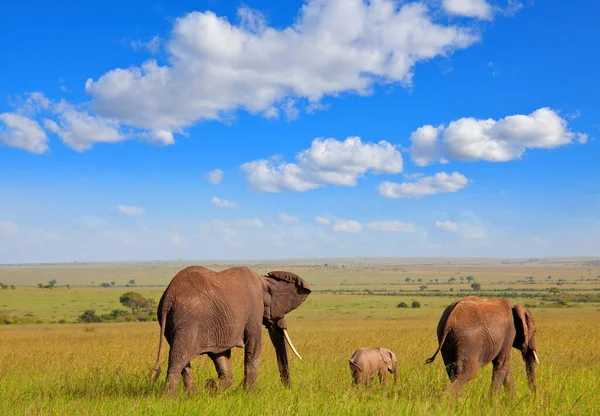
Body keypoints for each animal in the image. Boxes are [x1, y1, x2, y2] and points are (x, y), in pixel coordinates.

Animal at [150, 266, 312, 394]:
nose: (289, 389)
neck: (263, 280)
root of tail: (168, 299)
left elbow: (220, 355)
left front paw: (214, 385)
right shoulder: (254, 308)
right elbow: (254, 346)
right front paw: (247, 393)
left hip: (171, 325)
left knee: (183, 360)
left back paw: (193, 394)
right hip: (188, 322)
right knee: (178, 358)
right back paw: (168, 398)